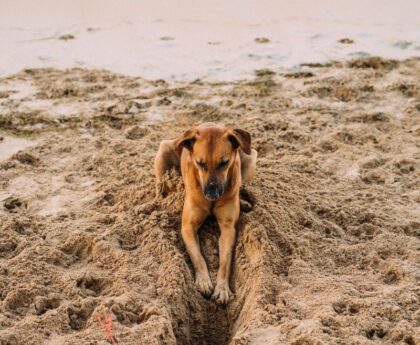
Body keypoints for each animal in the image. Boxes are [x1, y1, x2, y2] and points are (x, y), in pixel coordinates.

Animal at [154, 122, 258, 302]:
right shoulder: (188, 227)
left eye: (224, 163)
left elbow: (225, 261)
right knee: (161, 184)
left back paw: (243, 201)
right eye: (200, 163)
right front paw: (203, 281)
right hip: (164, 150)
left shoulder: (228, 229)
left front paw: (222, 288)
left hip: (250, 157)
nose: (211, 193)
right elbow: (197, 256)